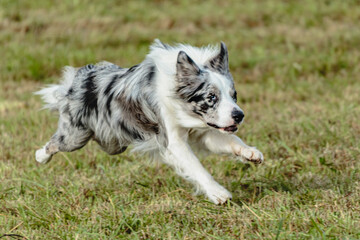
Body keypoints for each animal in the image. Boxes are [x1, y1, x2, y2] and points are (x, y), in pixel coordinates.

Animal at [35, 39, 262, 204]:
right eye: (212, 97)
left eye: (234, 95)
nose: (239, 115)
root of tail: (80, 77)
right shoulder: (172, 141)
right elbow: (197, 167)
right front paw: (219, 193)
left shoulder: (204, 131)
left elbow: (230, 141)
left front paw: (251, 153)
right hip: (76, 136)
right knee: (56, 142)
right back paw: (40, 156)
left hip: (112, 144)